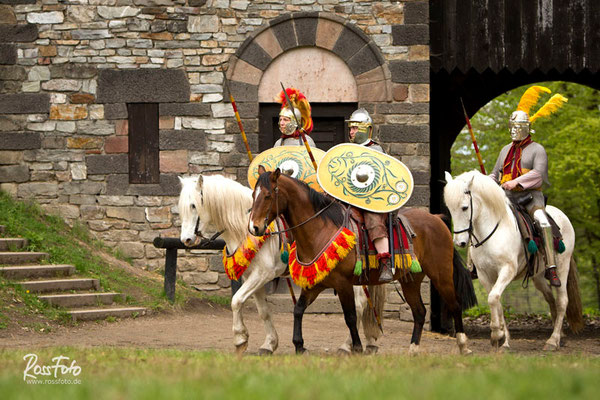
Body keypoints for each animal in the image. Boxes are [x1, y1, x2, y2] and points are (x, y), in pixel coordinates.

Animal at [179, 176, 384, 356]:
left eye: (194, 205)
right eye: (181, 208)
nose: (186, 240)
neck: (245, 229)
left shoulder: (262, 274)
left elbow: (236, 300)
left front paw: (240, 339)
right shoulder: (252, 277)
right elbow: (263, 312)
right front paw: (269, 344)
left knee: (359, 305)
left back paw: (347, 346)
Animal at [248, 167, 478, 354]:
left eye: (267, 195)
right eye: (253, 194)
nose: (255, 227)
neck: (320, 228)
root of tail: (437, 219)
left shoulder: (343, 284)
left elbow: (350, 316)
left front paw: (355, 347)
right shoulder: (315, 284)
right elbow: (298, 309)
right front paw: (299, 345)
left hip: (441, 275)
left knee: (455, 305)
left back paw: (464, 346)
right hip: (411, 279)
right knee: (420, 312)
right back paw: (413, 349)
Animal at [446, 170, 580, 352]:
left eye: (464, 207)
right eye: (449, 208)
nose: (459, 242)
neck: (492, 231)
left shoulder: (507, 270)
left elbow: (493, 298)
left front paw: (497, 334)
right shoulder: (484, 275)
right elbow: (497, 301)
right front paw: (504, 339)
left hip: (562, 266)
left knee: (561, 301)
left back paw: (553, 340)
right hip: (538, 276)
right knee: (550, 298)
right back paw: (560, 336)